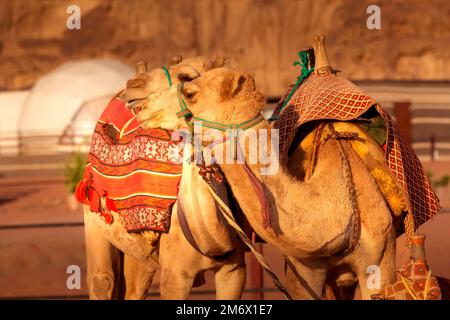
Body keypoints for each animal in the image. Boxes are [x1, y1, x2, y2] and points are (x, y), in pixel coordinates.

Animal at [84, 55, 246, 300]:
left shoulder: (234, 270)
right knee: (103, 281)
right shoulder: (175, 276)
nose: (133, 84)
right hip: (94, 216)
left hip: (139, 253)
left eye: (186, 78)